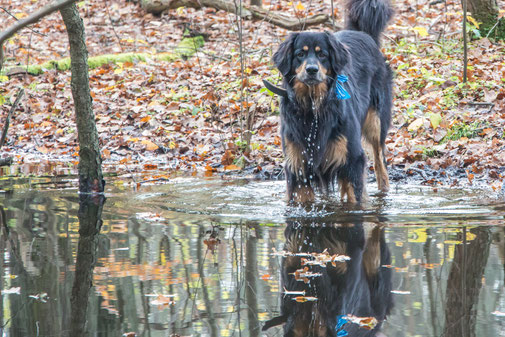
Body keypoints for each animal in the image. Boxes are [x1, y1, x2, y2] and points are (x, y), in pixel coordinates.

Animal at [266, 0, 392, 202]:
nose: (311, 70)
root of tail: (363, 34)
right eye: (300, 54)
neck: (313, 107)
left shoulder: (352, 160)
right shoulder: (297, 165)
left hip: (376, 123)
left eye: (322, 55)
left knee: (381, 164)